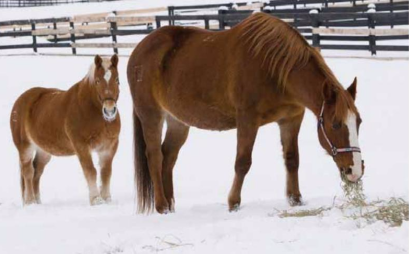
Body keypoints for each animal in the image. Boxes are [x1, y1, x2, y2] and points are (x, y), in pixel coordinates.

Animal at [10, 54, 120, 205]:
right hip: (25, 147)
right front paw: (96, 200)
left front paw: (107, 199)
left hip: (44, 151)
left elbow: (106, 172)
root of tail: (20, 101)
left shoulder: (109, 147)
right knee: (28, 172)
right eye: (97, 81)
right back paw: (30, 202)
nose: (109, 110)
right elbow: (90, 171)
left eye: (117, 79)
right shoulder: (82, 146)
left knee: (37, 172)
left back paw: (37, 202)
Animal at [127, 12, 364, 213]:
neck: (274, 69)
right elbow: (242, 162)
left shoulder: (291, 118)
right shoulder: (248, 120)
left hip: (178, 121)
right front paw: (233, 202)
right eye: (335, 124)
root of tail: (139, 51)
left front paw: (295, 199)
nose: (355, 171)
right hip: (151, 115)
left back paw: (170, 204)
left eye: (359, 122)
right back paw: (161, 206)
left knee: (168, 156)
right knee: (155, 156)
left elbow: (292, 159)